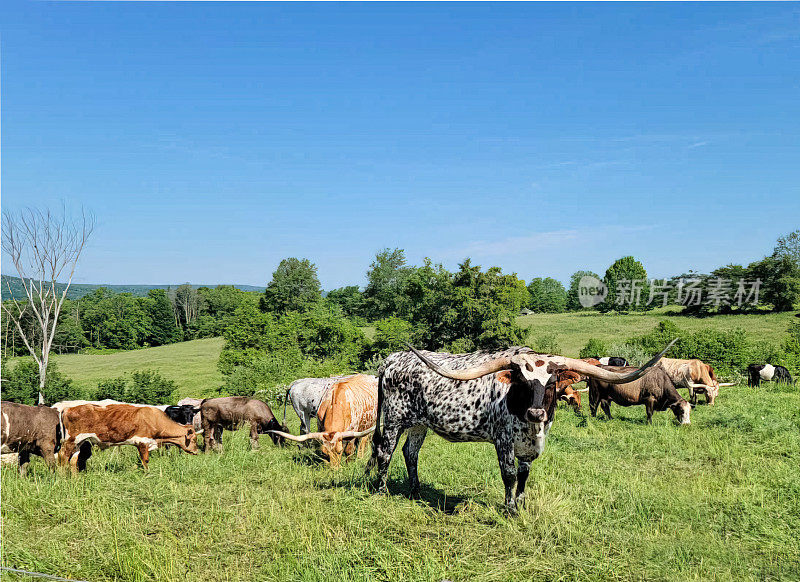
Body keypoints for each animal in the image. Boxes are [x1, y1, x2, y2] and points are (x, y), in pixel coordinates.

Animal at [59, 404, 197, 476]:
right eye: (194, 440)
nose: (196, 451)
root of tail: (68, 409)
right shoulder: (142, 442)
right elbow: (145, 461)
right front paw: (147, 474)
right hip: (71, 441)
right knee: (62, 457)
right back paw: (62, 476)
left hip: (78, 443)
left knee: (73, 460)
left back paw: (75, 478)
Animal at [368, 342, 676, 516]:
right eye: (522, 382)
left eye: (552, 382)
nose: (536, 412)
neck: (531, 425)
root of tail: (391, 360)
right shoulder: (503, 441)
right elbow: (509, 475)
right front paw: (510, 510)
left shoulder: (530, 446)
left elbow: (525, 476)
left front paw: (522, 504)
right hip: (394, 419)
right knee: (385, 453)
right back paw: (382, 491)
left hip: (419, 423)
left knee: (410, 453)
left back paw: (416, 491)